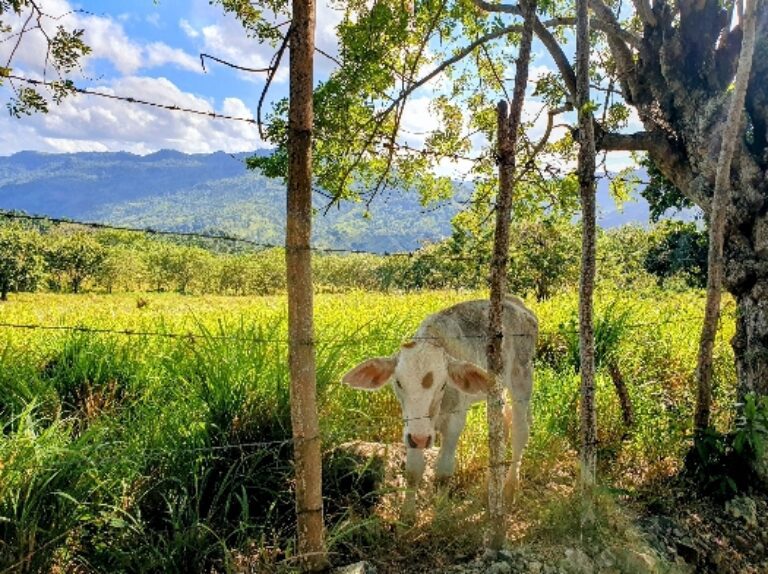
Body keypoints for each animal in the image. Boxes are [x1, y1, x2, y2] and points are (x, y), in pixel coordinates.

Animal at [342, 300, 536, 502]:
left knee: (520, 431)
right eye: (398, 383)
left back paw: (509, 489)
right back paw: (489, 487)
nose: (420, 439)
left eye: (443, 384)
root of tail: (519, 304)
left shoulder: (455, 422)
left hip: (522, 377)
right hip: (497, 389)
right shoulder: (411, 427)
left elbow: (443, 472)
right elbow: (413, 471)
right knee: (501, 429)